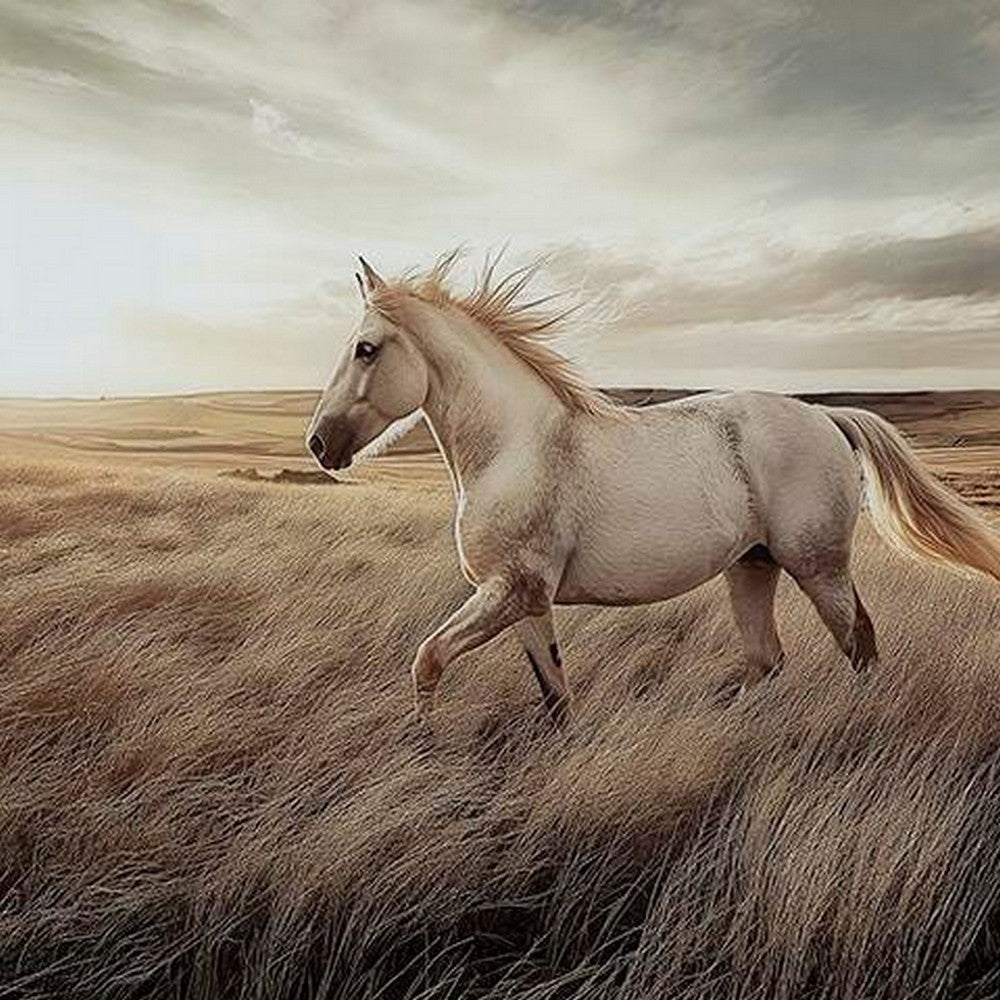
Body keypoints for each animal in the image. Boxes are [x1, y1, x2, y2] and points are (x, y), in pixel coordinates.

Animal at [307, 253, 1000, 723]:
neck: (515, 448)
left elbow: (427, 659)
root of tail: (825, 416)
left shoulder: (512, 591)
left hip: (818, 565)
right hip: (752, 566)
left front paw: (421, 746)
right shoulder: (523, 602)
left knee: (858, 646)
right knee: (767, 659)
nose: (318, 444)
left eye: (366, 349)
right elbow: (555, 697)